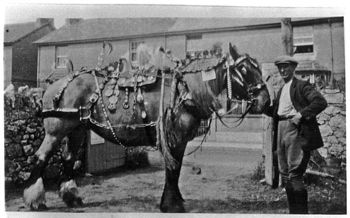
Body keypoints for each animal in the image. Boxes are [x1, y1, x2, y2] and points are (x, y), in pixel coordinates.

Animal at [23, 42, 270, 211]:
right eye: (245, 70)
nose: (266, 101)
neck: (184, 90)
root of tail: (56, 84)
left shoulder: (178, 140)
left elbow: (176, 168)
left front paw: (175, 200)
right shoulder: (174, 137)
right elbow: (173, 168)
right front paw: (171, 204)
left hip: (77, 129)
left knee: (67, 159)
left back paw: (72, 198)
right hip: (56, 130)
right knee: (40, 157)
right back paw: (34, 199)